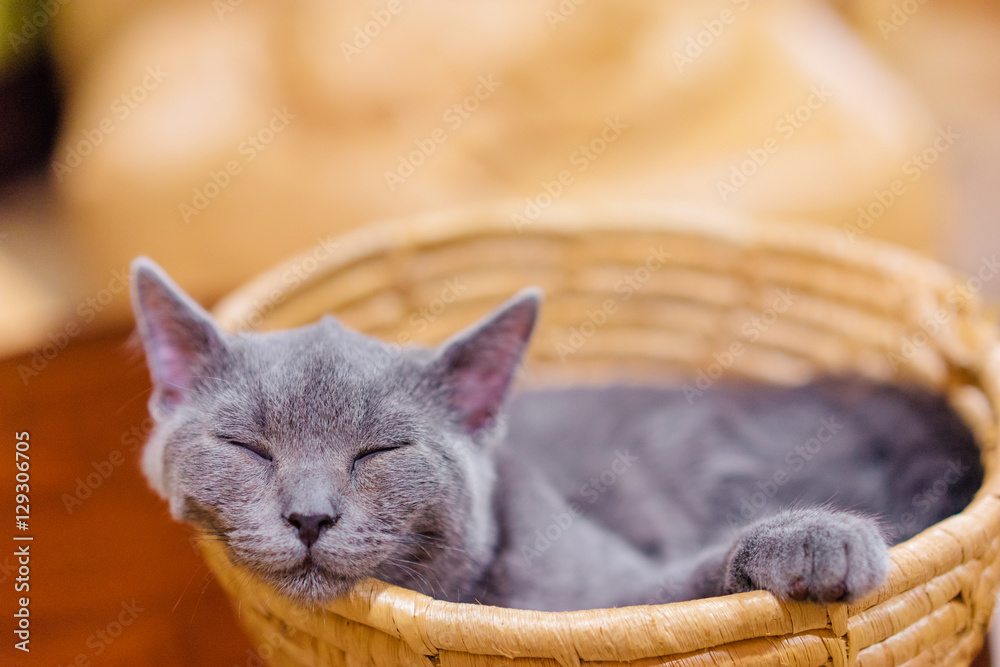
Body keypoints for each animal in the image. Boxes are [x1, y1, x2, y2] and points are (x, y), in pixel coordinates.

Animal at [129, 258, 980, 612]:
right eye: (247, 447)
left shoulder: (611, 596)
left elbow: (679, 586)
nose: (310, 516)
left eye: (381, 451)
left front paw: (814, 541)